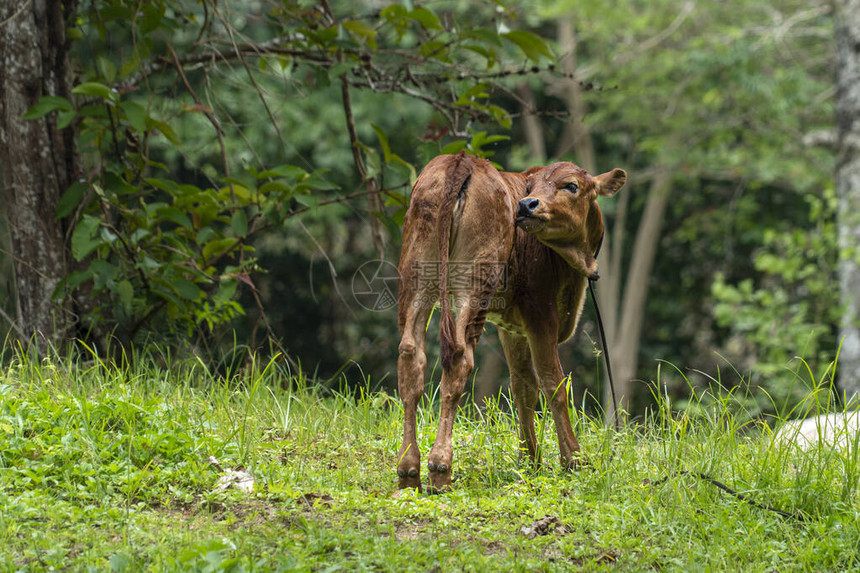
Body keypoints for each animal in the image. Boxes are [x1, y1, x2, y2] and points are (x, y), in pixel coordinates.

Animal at [396, 152, 624, 492]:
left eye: (571, 186)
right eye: (530, 187)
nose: (526, 204)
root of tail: (462, 159)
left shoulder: (512, 327)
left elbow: (523, 385)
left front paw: (530, 461)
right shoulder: (540, 310)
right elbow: (553, 383)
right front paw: (573, 459)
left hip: (416, 273)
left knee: (411, 357)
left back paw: (409, 471)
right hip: (476, 279)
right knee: (459, 359)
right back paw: (440, 467)